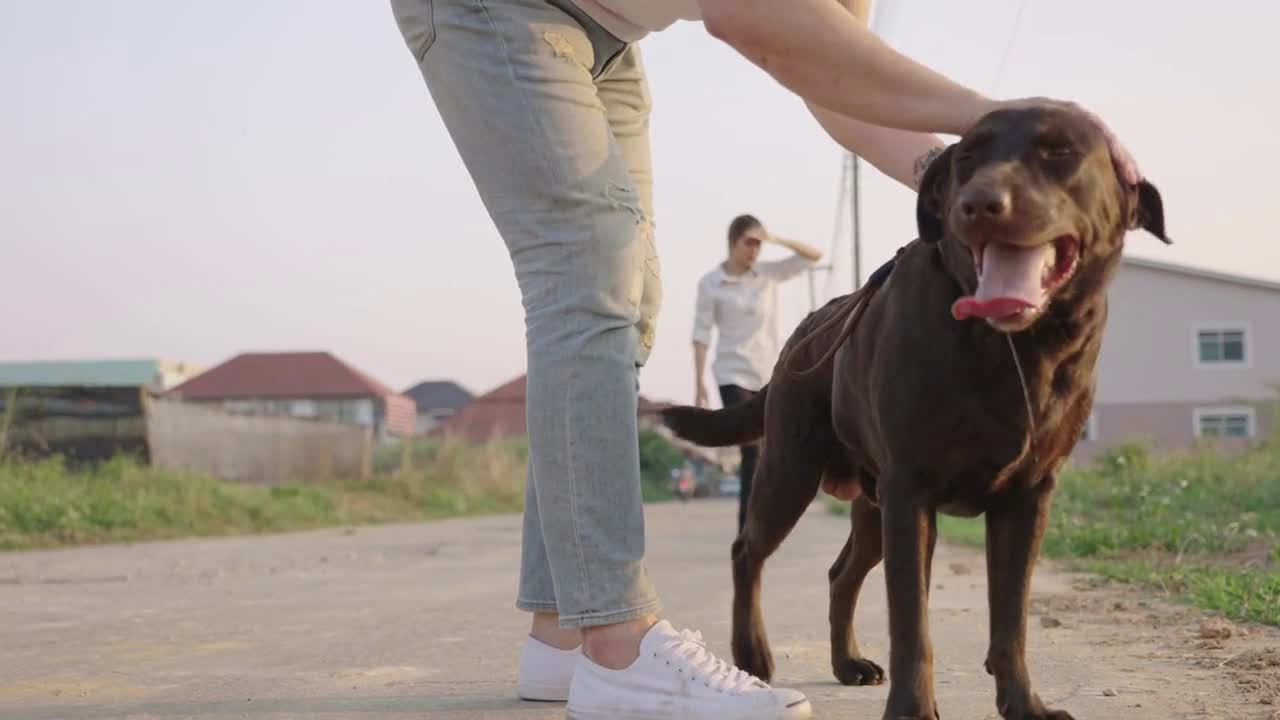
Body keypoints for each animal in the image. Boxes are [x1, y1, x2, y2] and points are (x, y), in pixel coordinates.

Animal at [660, 106, 1172, 717]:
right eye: (967, 158)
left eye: (1059, 153)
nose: (979, 204)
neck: (1015, 346)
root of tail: (799, 339)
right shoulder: (911, 493)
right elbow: (911, 624)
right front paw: (912, 709)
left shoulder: (1027, 498)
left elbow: (1011, 621)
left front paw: (1025, 704)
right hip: (791, 471)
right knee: (747, 551)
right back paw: (753, 654)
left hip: (871, 504)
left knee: (840, 574)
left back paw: (847, 662)